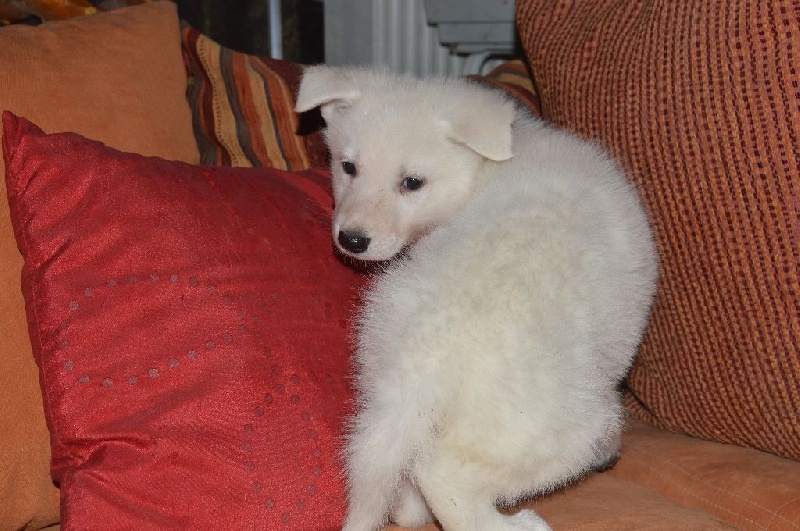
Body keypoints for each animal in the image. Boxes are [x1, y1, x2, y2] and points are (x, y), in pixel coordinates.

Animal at [295, 66, 658, 531]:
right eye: (349, 167)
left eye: (412, 183)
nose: (351, 240)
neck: (496, 160)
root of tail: (422, 366)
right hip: (557, 430)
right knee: (443, 478)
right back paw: (520, 523)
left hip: (385, 401)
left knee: (398, 475)